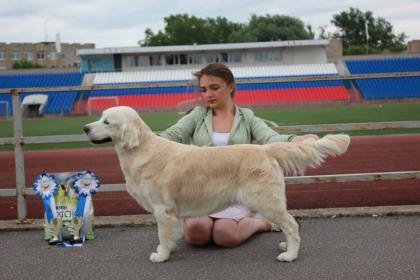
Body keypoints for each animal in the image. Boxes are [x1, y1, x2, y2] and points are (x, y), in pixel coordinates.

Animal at [83, 106, 350, 262]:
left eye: (106, 122)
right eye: (99, 118)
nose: (85, 128)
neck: (142, 149)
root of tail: (264, 148)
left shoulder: (163, 209)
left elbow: (162, 234)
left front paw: (161, 255)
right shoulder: (170, 213)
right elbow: (169, 234)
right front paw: (170, 247)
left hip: (265, 199)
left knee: (292, 224)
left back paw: (290, 254)